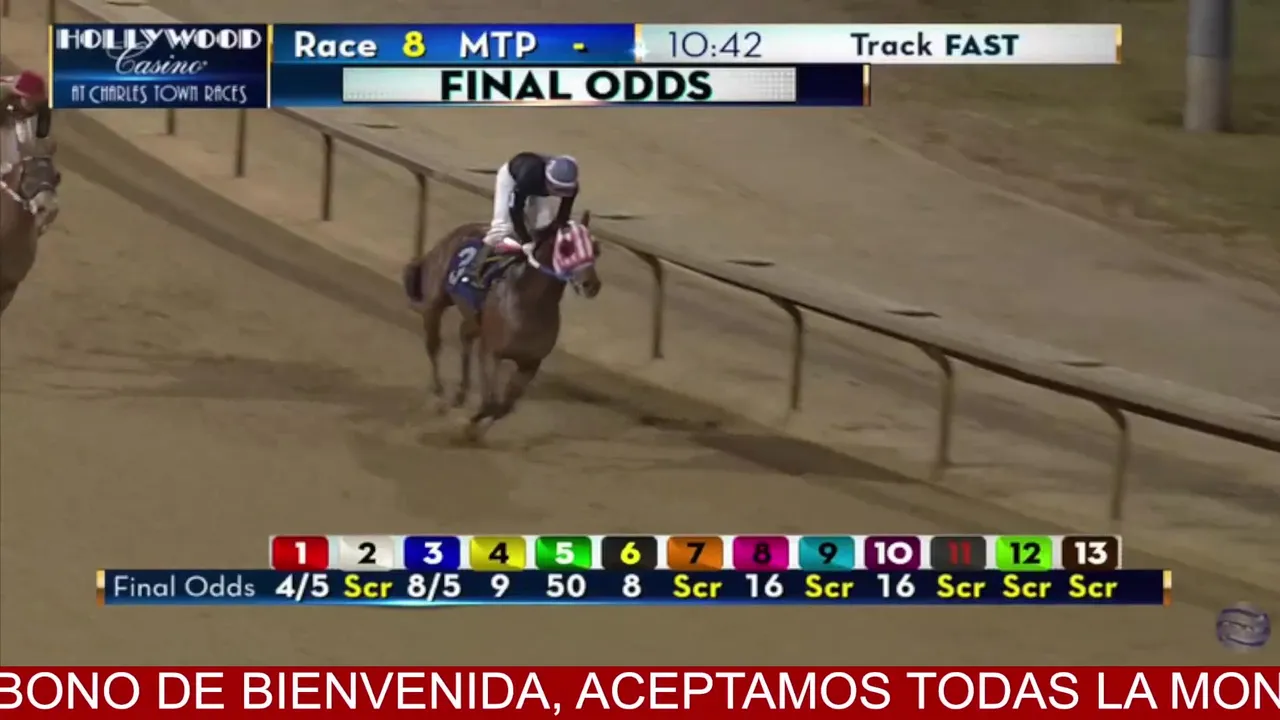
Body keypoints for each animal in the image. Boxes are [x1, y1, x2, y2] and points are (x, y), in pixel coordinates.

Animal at [402, 213, 602, 440]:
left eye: (596, 249)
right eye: (567, 247)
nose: (591, 285)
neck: (529, 303)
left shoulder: (530, 363)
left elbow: (503, 408)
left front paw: (475, 428)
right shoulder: (491, 352)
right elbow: (491, 403)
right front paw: (470, 425)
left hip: (474, 321)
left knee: (464, 335)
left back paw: (459, 394)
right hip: (435, 303)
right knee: (433, 345)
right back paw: (439, 394)